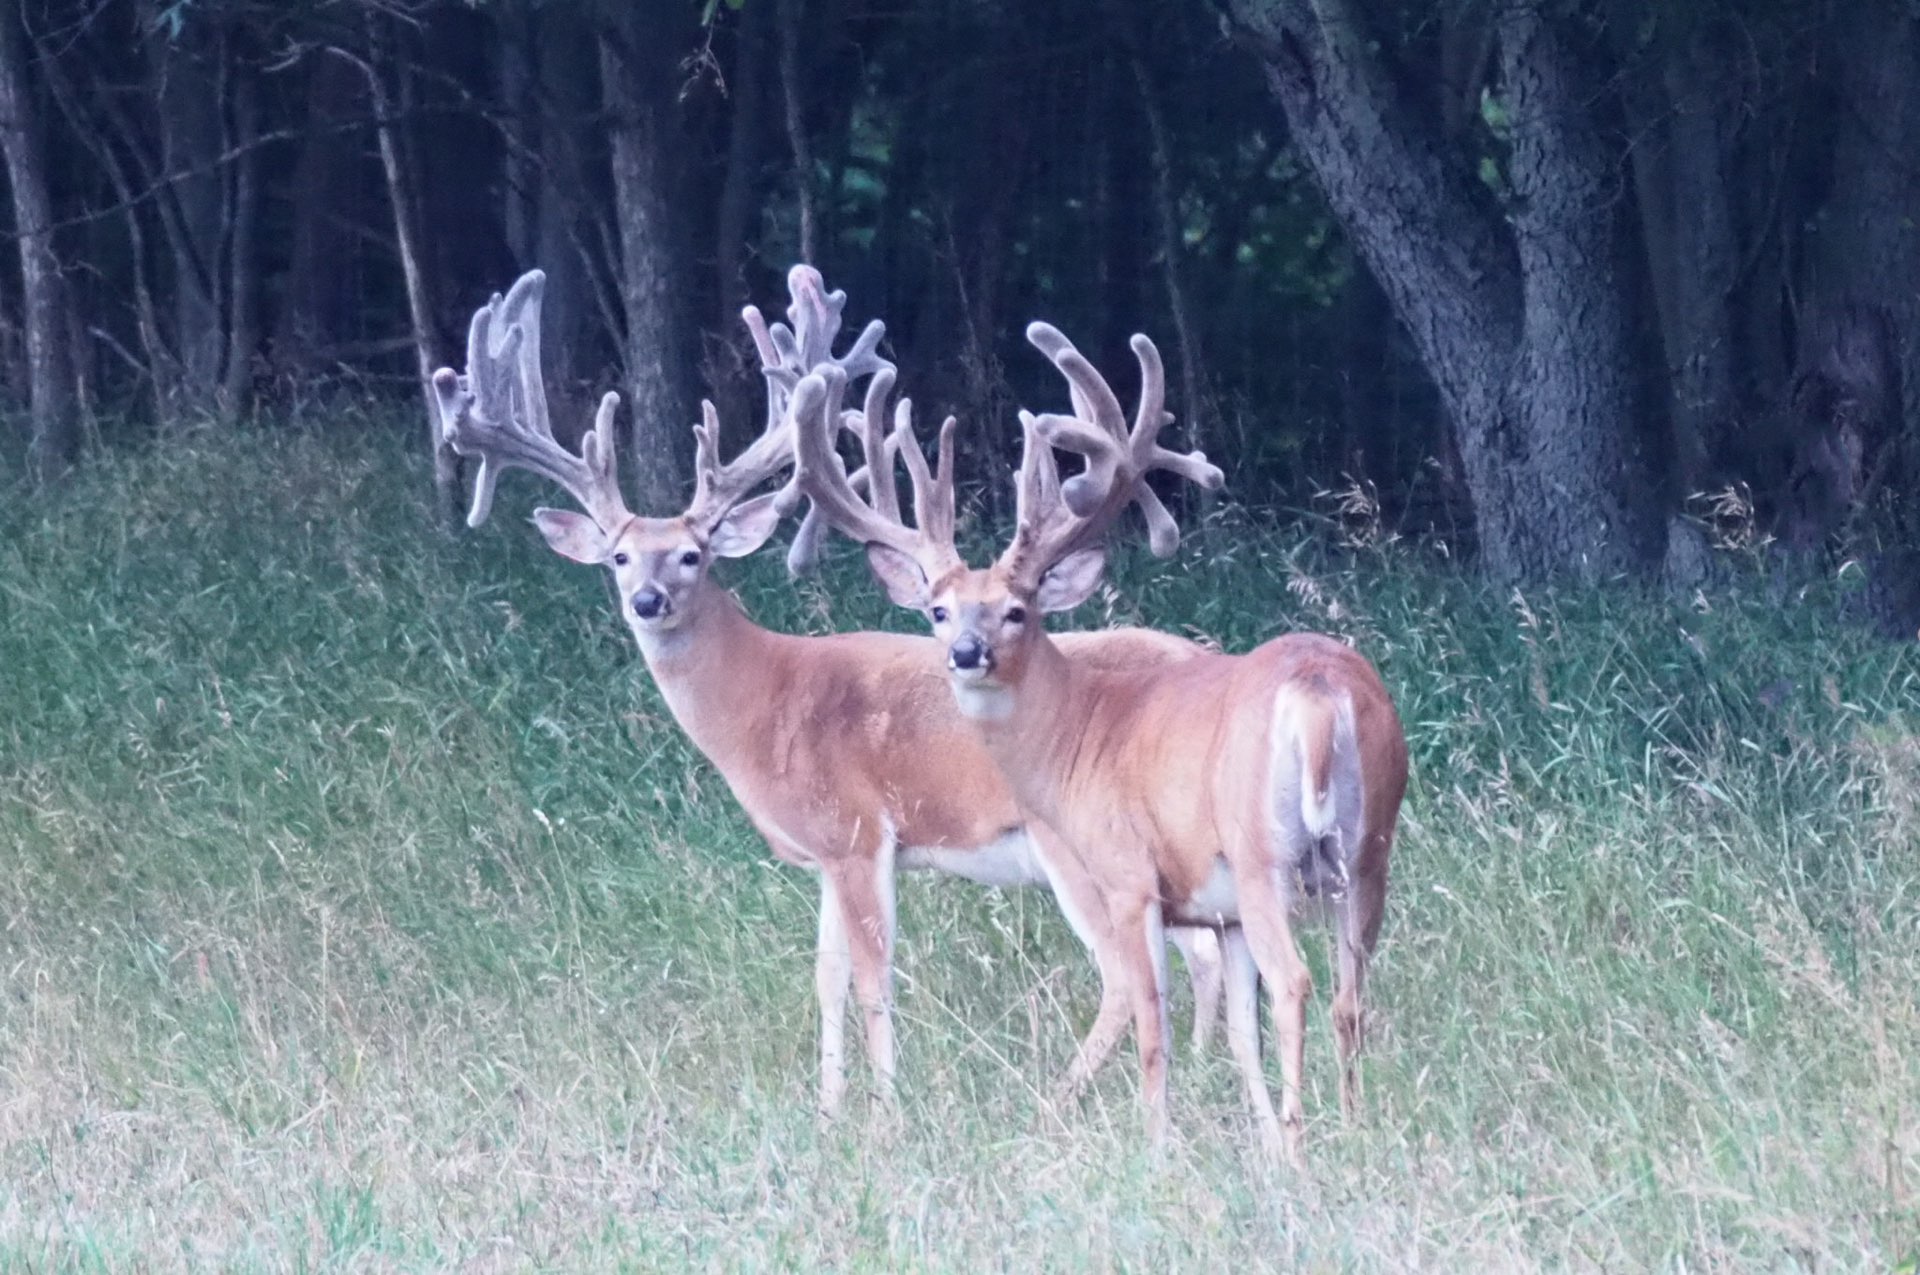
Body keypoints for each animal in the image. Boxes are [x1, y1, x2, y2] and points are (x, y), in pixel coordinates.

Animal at [430, 266, 1228, 1113]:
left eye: (692, 554)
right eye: (618, 556)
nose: (647, 600)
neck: (766, 702)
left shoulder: (856, 832)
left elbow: (875, 979)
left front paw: (885, 1111)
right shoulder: (821, 854)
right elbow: (827, 976)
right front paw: (827, 1107)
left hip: (1076, 845)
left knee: (1131, 973)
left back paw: (1062, 1094)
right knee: (1200, 949)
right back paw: (1200, 1071)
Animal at [783, 318, 1413, 1152]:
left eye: (1017, 609)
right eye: (938, 610)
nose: (966, 653)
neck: (1077, 735)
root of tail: (1318, 691)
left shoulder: (1128, 873)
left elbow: (1153, 1019)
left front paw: (1160, 1144)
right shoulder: (1217, 910)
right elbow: (1236, 1030)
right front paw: (1252, 1133)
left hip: (1262, 852)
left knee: (1297, 983)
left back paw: (1302, 1139)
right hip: (1368, 851)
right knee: (1350, 992)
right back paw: (1345, 1126)